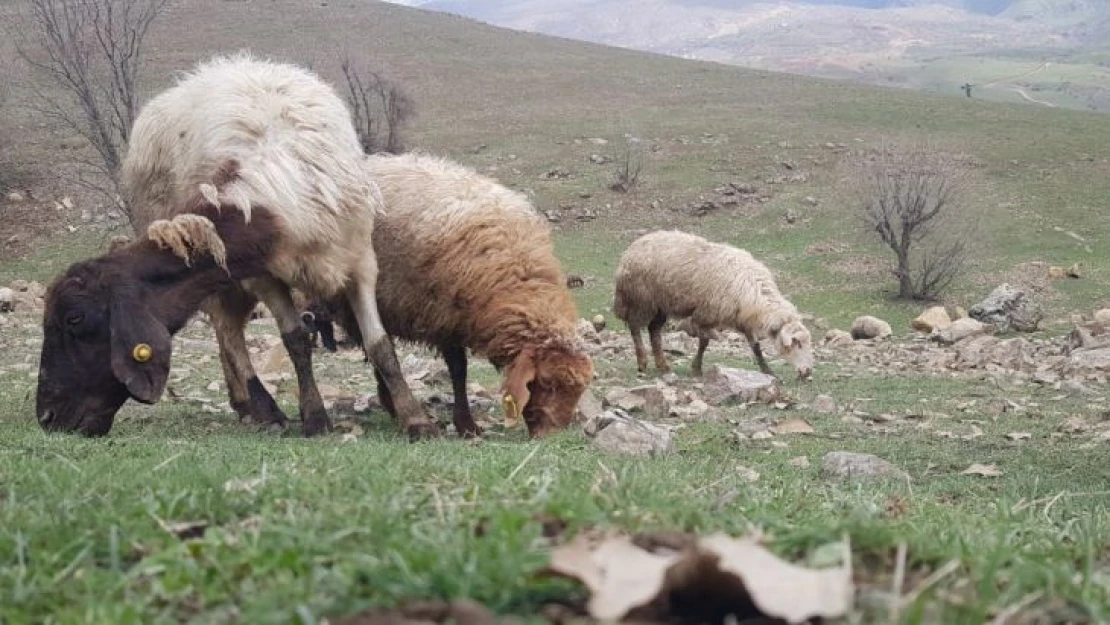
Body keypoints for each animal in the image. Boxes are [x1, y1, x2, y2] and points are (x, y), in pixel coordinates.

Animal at [612, 228, 812, 379]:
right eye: (797, 343)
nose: (808, 371)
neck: (754, 291)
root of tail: (630, 250)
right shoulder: (706, 313)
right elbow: (704, 342)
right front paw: (697, 369)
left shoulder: (743, 318)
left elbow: (755, 346)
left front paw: (767, 371)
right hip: (642, 299)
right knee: (635, 327)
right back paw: (642, 362)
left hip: (661, 305)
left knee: (654, 331)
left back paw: (663, 366)